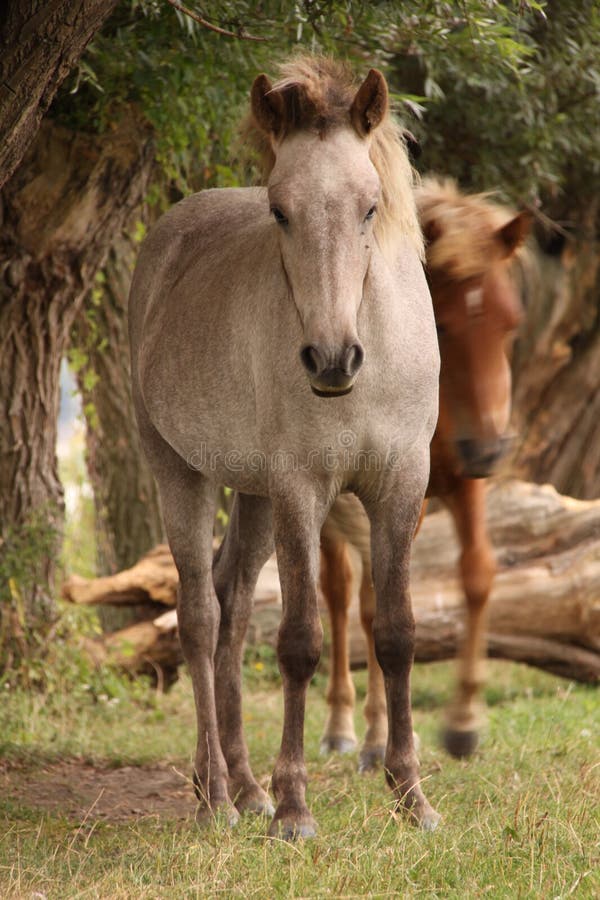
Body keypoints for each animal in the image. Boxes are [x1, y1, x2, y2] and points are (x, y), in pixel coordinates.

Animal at [129, 55, 440, 838]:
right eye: (279, 210)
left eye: (369, 206)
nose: (331, 360)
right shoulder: (304, 490)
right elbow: (301, 641)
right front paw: (297, 805)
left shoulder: (401, 485)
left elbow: (396, 632)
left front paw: (410, 793)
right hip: (181, 474)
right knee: (201, 618)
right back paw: (215, 795)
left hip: (253, 495)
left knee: (234, 610)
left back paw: (245, 787)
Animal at [320, 178, 530, 769]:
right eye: (440, 323)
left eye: (510, 323)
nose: (489, 449)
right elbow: (372, 603)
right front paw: (380, 735)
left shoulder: (462, 484)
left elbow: (478, 574)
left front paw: (463, 723)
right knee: (339, 594)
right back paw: (344, 727)